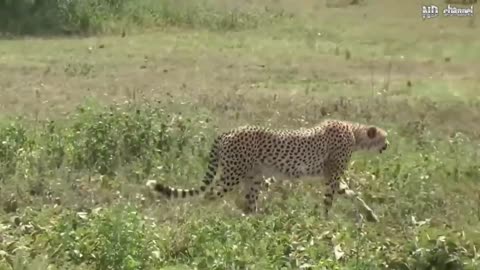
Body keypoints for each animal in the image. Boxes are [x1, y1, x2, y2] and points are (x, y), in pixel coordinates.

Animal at [147, 119, 390, 220]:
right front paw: (325, 220)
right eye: (384, 137)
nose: (387, 145)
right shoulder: (331, 177)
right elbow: (330, 201)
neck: (354, 133)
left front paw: (371, 215)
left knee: (249, 204)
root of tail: (228, 132)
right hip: (232, 175)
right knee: (210, 194)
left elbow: (353, 194)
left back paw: (257, 222)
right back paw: (201, 217)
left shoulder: (332, 177)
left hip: (252, 177)